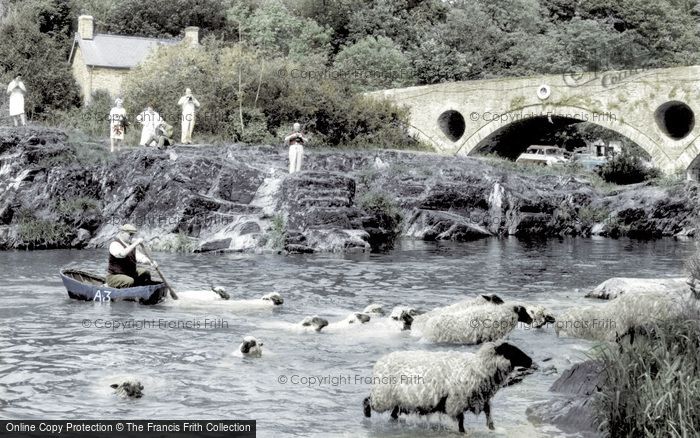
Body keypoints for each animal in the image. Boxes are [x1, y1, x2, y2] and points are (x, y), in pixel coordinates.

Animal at [364, 342, 532, 432]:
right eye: (513, 351)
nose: (530, 360)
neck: (478, 367)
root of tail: (380, 362)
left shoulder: (482, 399)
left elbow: (489, 417)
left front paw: (492, 430)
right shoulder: (456, 402)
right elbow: (461, 421)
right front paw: (463, 432)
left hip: (400, 400)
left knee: (393, 414)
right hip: (382, 396)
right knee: (367, 400)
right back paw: (367, 416)